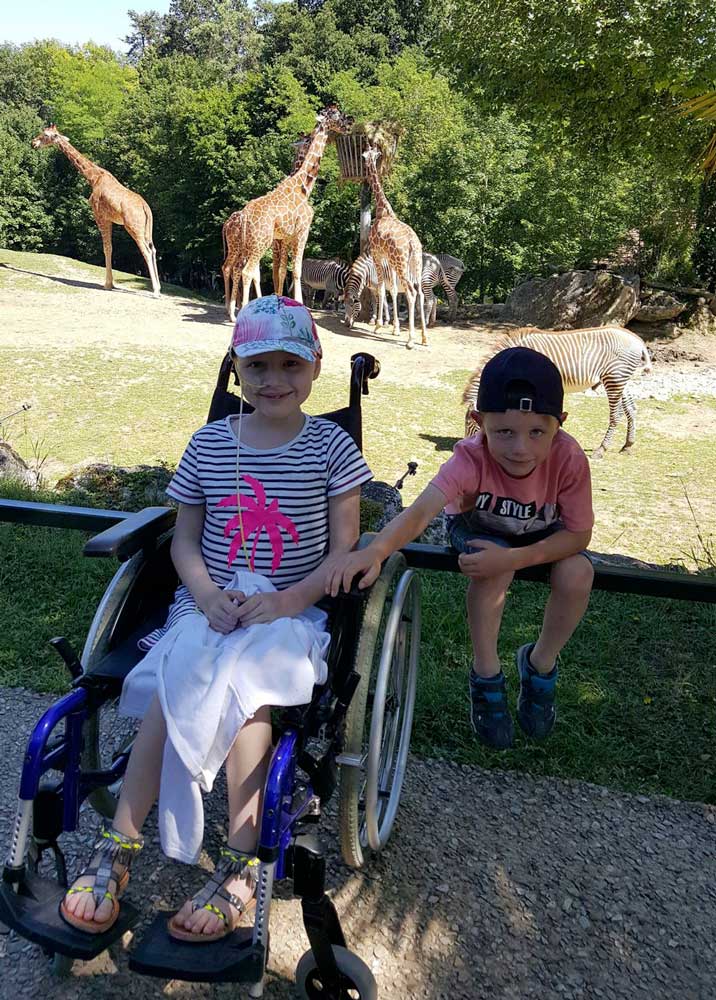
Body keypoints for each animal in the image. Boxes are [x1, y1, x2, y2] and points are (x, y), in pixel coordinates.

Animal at [31, 125, 161, 297]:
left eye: (46, 135)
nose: (33, 143)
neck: (93, 178)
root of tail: (146, 207)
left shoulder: (99, 216)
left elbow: (106, 248)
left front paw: (107, 284)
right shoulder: (109, 219)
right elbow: (110, 248)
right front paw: (110, 283)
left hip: (133, 227)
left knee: (146, 251)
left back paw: (155, 292)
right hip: (146, 229)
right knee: (153, 249)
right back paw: (159, 288)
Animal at [237, 105, 352, 310]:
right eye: (336, 113)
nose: (351, 121)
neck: (303, 187)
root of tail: (244, 216)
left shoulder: (286, 237)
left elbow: (283, 271)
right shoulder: (302, 231)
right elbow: (296, 270)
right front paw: (298, 303)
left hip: (250, 243)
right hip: (261, 241)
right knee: (248, 272)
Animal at [362, 145, 426, 349]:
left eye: (365, 156)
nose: (366, 166)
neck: (382, 210)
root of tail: (413, 242)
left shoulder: (376, 253)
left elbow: (382, 288)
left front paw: (378, 325)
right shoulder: (387, 259)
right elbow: (393, 290)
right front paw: (394, 328)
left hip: (401, 261)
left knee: (411, 292)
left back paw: (411, 340)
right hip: (415, 263)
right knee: (420, 292)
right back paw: (424, 337)